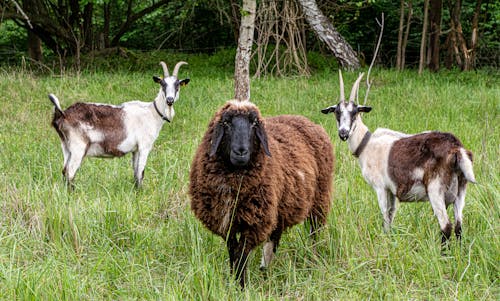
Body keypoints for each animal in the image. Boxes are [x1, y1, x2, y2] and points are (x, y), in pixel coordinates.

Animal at [49, 61, 189, 188]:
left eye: (177, 85)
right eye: (162, 84)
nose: (169, 100)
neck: (152, 112)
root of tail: (62, 114)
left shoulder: (135, 150)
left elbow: (136, 173)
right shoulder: (144, 146)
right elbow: (141, 172)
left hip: (66, 146)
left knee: (64, 171)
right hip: (78, 147)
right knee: (70, 172)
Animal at [189, 99, 334, 288]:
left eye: (254, 123)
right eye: (226, 123)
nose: (241, 151)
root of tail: (306, 120)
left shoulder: (254, 223)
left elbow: (241, 255)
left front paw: (241, 286)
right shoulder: (226, 222)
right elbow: (233, 252)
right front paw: (233, 280)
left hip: (319, 198)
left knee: (314, 231)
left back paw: (312, 258)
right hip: (280, 207)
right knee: (275, 236)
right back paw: (265, 268)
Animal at [322, 71, 474, 245]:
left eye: (355, 112)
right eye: (337, 112)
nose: (343, 133)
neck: (366, 145)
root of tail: (456, 148)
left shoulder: (381, 187)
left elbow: (384, 216)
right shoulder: (392, 191)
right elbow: (391, 216)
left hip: (435, 190)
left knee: (446, 226)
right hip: (461, 189)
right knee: (459, 227)